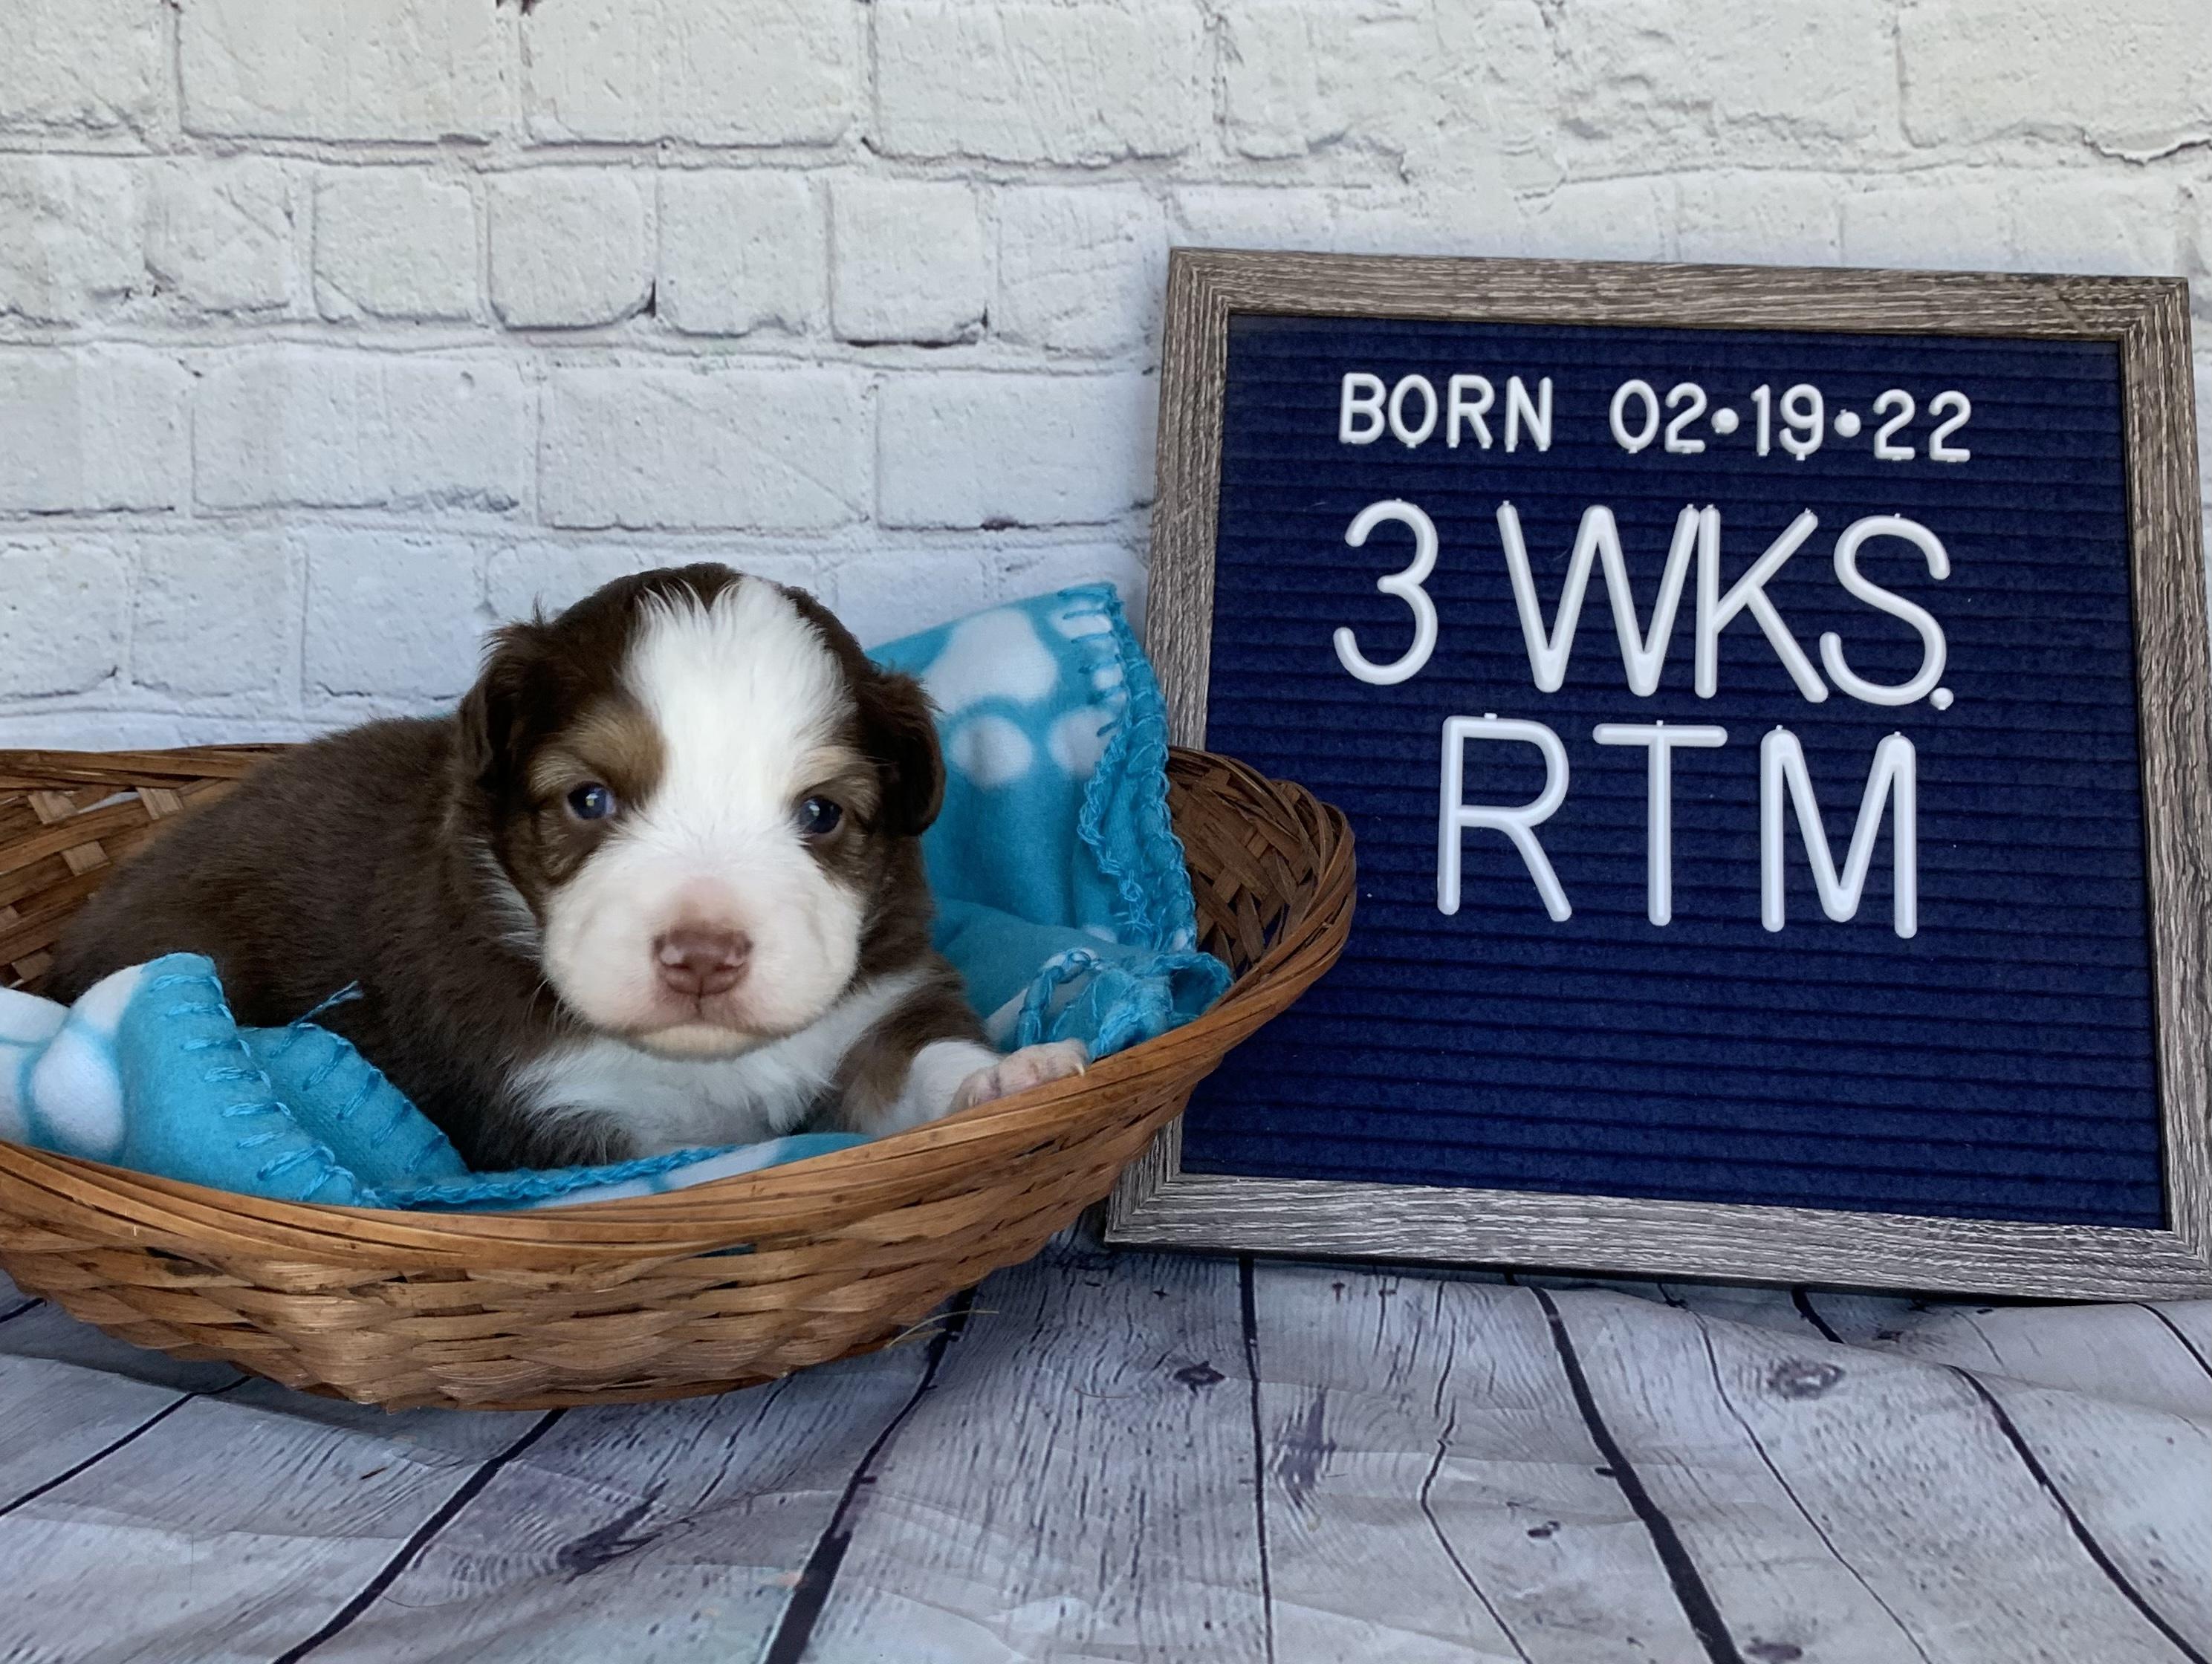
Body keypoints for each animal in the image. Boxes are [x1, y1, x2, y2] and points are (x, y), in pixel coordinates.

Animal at [49, 564, 1088, 1170]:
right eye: (591, 800)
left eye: (821, 812)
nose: (702, 954)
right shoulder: (557, 1114)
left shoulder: (879, 1001)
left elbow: (916, 1062)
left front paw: (1014, 1076)